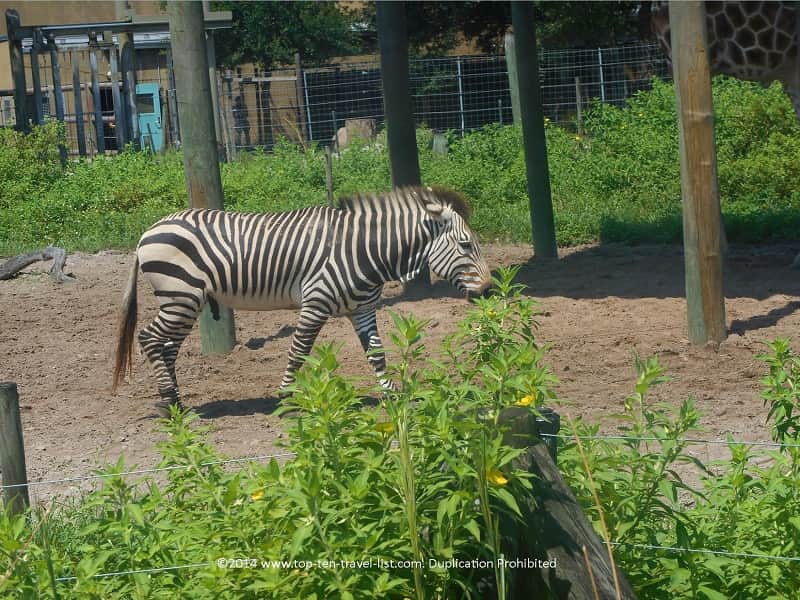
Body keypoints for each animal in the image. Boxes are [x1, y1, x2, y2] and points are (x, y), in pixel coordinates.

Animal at [112, 185, 493, 409]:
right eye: (465, 245)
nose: (489, 290)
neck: (364, 250)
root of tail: (149, 230)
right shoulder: (316, 303)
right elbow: (298, 350)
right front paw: (285, 398)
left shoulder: (363, 309)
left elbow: (376, 354)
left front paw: (392, 395)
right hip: (180, 295)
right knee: (150, 338)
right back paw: (167, 403)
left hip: (183, 301)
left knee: (166, 347)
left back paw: (175, 399)